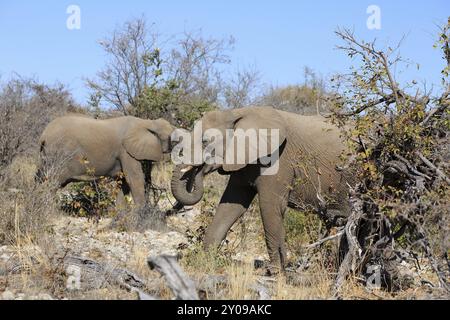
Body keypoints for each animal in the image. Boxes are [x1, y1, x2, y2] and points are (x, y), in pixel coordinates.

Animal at [37, 115, 175, 208]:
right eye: (174, 142)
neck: (147, 122)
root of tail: (43, 135)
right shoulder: (125, 151)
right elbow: (134, 179)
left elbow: (124, 181)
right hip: (58, 156)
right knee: (53, 183)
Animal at [171, 106, 354, 274]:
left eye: (205, 141)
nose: (199, 170)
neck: (236, 113)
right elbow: (231, 206)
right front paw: (203, 261)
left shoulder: (278, 159)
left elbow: (270, 206)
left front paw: (275, 272)